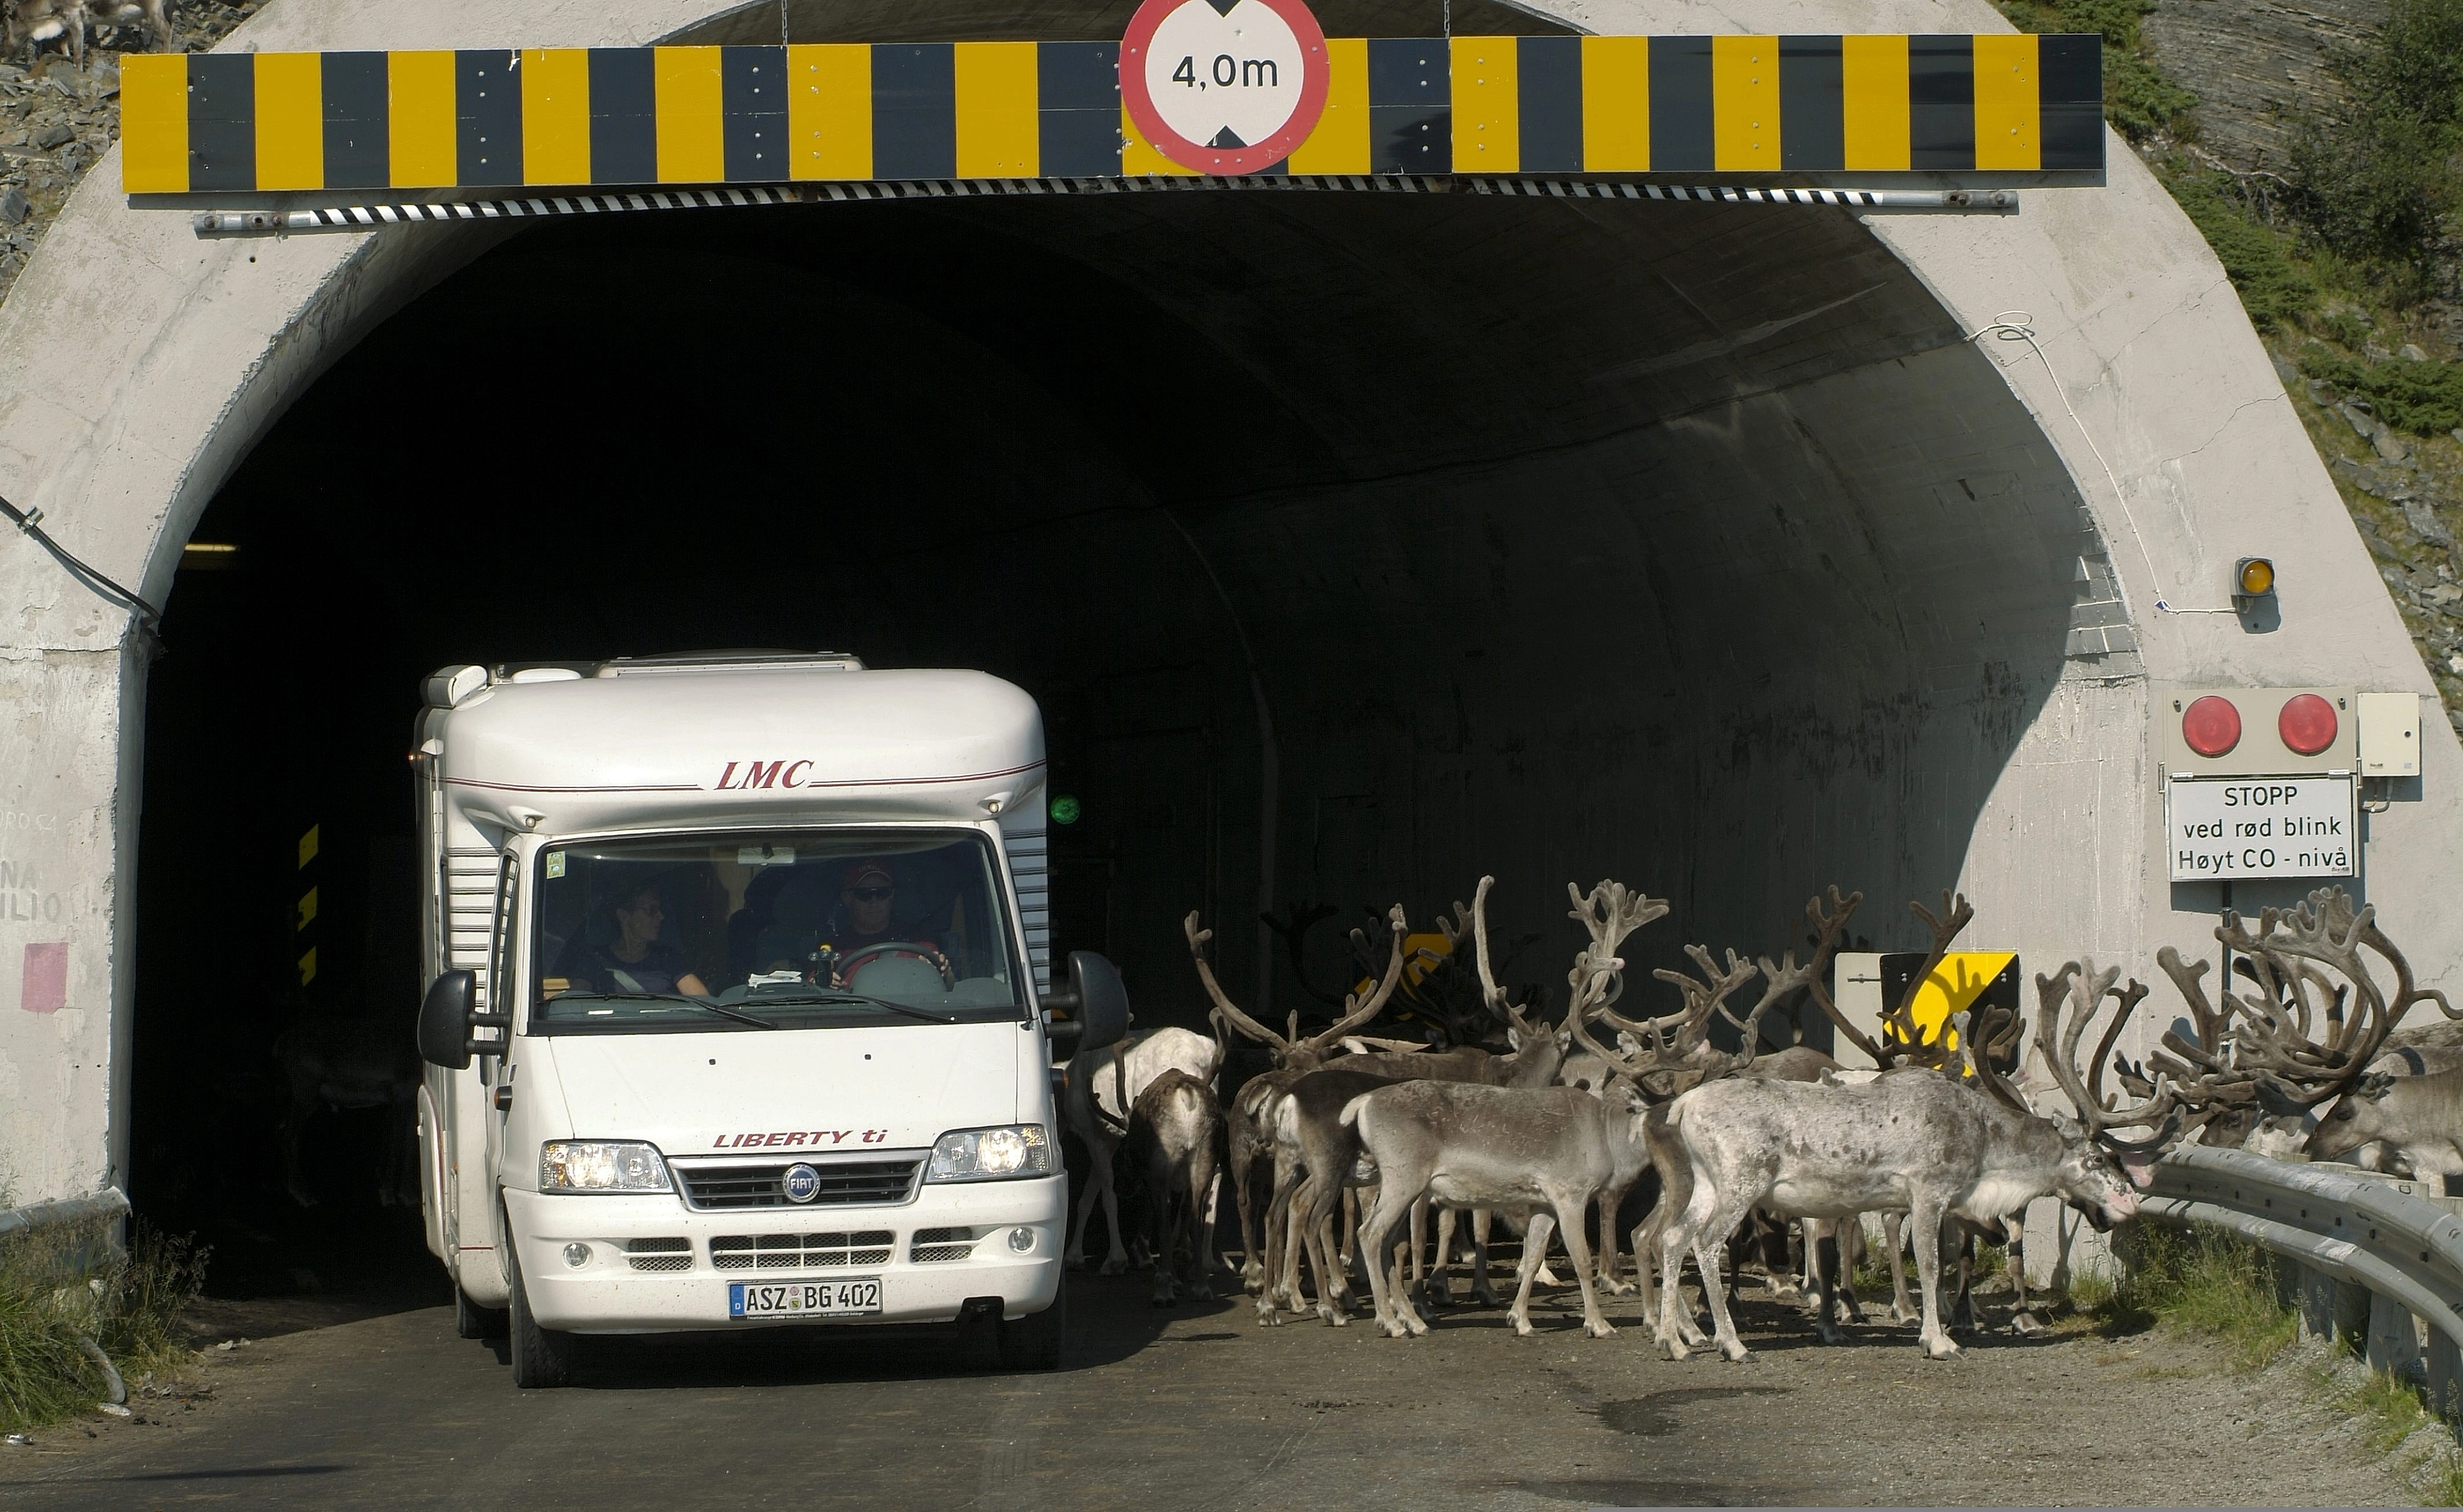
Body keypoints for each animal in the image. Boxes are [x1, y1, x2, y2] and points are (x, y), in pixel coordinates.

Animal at [1120, 1067, 1226, 1307]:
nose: (1124, 1184)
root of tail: (1187, 1096)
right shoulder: (1183, 1184)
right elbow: (1183, 1216)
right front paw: (1178, 1279)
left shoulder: (1151, 1178)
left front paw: (1172, 1282)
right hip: (1205, 1157)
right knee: (1195, 1218)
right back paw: (1201, 1287)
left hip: (1162, 1163)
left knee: (1164, 1222)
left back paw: (1162, 1291)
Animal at [1651, 941, 2181, 1363]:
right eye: (2097, 1158)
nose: (2131, 1202)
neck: (1985, 1149)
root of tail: (1683, 1106)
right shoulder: (1928, 1190)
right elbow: (1928, 1264)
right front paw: (1939, 1340)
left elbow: (1940, 1262)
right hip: (1741, 1182)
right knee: (1705, 1242)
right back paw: (1731, 1344)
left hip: (1705, 1183)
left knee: (1673, 1238)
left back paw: (1677, 1342)